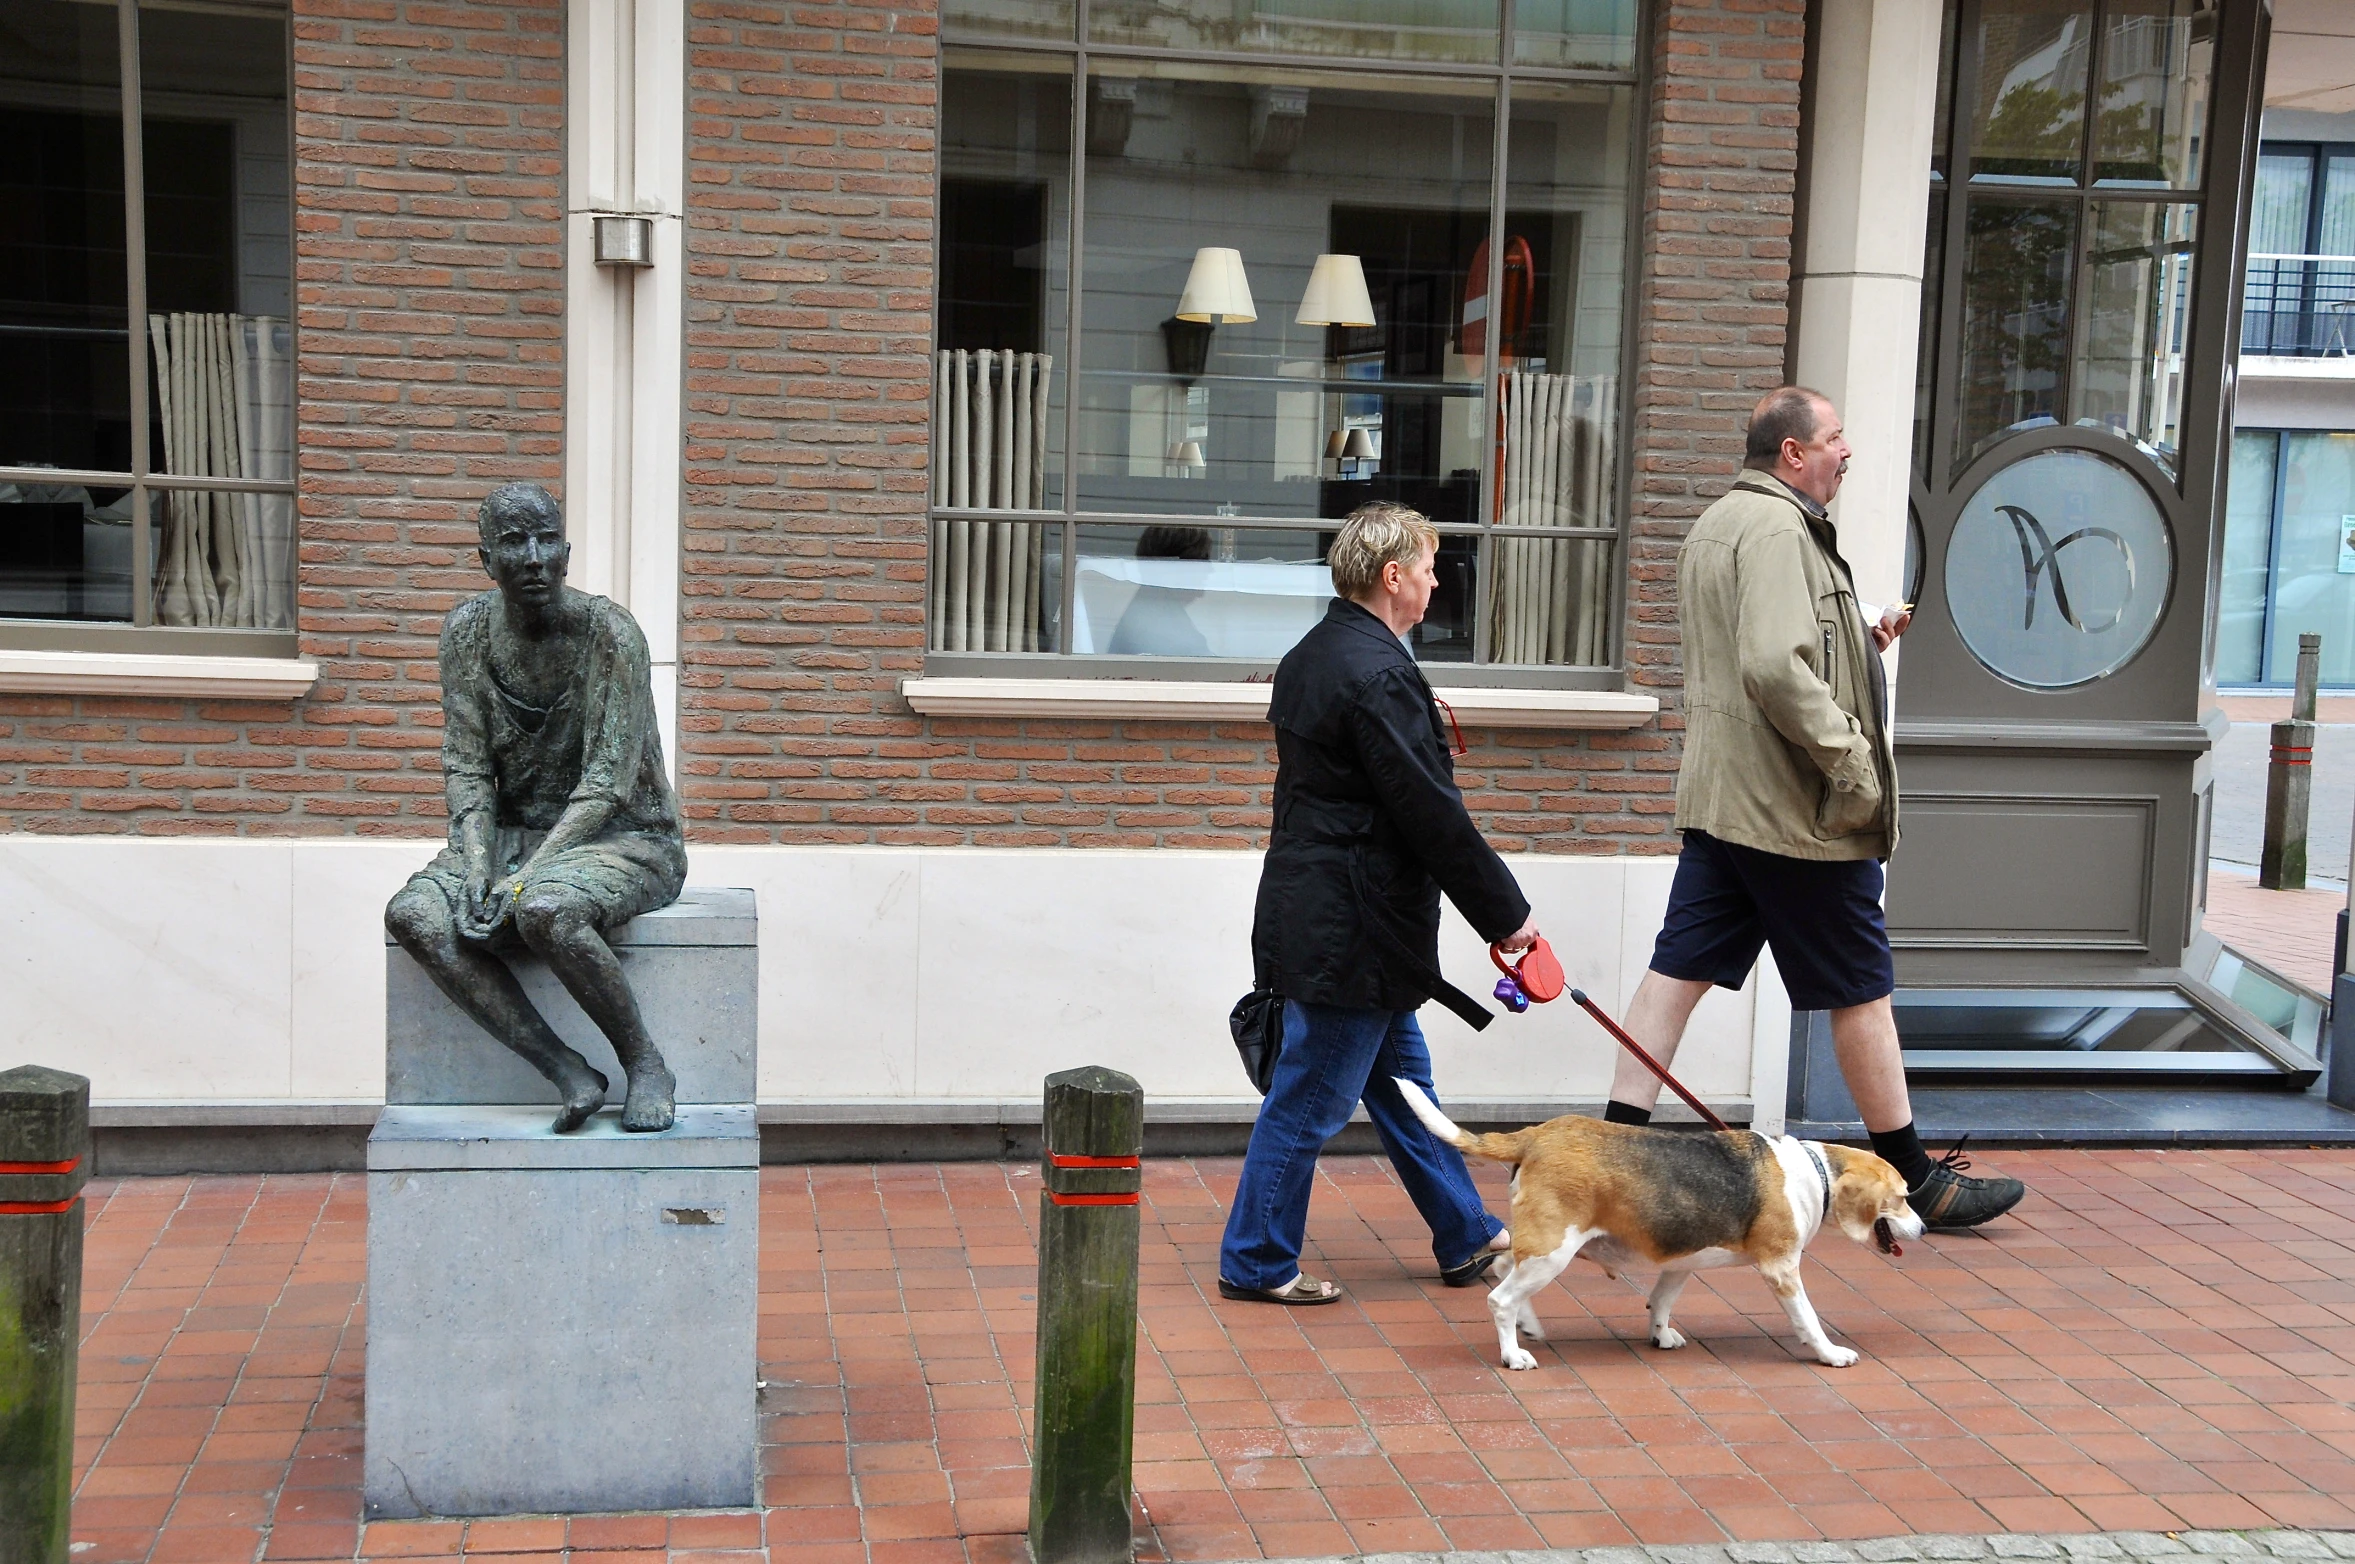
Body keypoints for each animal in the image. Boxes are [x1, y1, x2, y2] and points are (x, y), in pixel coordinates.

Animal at [1384, 1074, 1921, 1366]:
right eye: (1900, 1198)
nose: (1921, 1228)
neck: (1815, 1171)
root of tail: (1538, 1133)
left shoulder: (1681, 1262)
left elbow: (1660, 1301)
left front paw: (1660, 1335)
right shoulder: (1781, 1269)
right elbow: (1808, 1318)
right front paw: (1830, 1354)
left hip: (1539, 1249)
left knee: (1500, 1271)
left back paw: (1528, 1326)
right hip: (1553, 1252)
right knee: (1499, 1298)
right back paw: (1513, 1354)